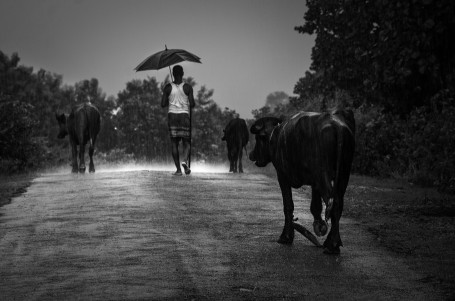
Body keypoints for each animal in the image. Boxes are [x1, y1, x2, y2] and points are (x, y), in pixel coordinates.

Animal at [249, 108, 356, 253]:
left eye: (258, 138)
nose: (251, 155)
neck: (275, 137)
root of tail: (337, 126)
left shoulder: (282, 176)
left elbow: (288, 205)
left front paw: (286, 236)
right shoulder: (315, 183)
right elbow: (315, 206)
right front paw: (318, 225)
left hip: (324, 174)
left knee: (332, 202)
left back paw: (332, 245)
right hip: (344, 173)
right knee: (338, 203)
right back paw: (332, 242)